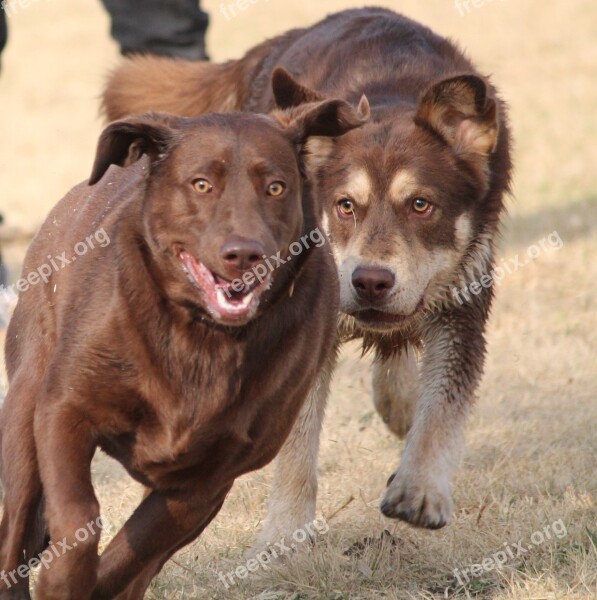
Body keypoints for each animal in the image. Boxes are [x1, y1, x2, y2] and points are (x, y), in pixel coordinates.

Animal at [0, 102, 366, 596]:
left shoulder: (205, 483)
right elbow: (80, 519)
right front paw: (63, 580)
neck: (201, 335)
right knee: (15, 529)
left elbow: (131, 556)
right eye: (201, 184)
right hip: (24, 409)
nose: (244, 254)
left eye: (275, 187)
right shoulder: (64, 409)